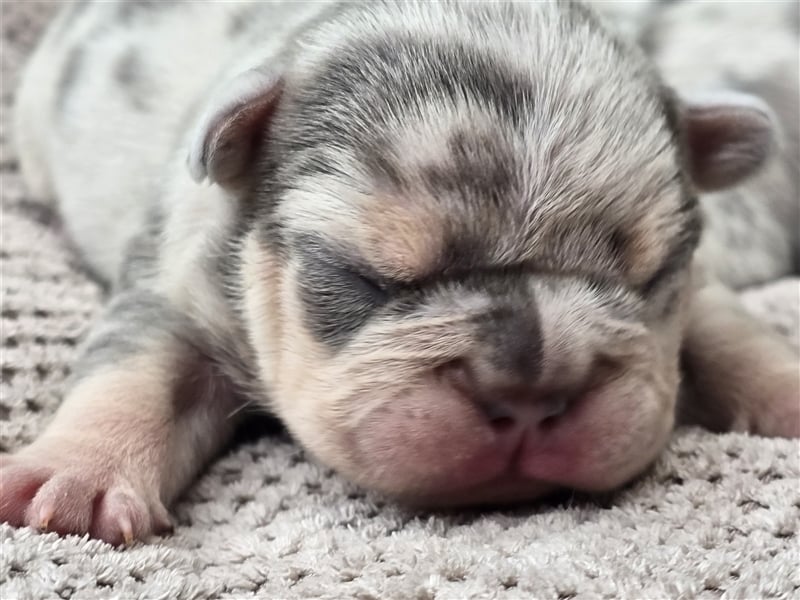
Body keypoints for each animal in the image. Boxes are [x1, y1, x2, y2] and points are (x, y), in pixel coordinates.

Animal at [1, 0, 800, 544]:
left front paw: (785, 387)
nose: (533, 395)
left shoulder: (700, 286)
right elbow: (135, 375)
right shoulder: (173, 289)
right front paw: (80, 476)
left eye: (649, 276)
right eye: (371, 279)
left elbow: (730, 331)